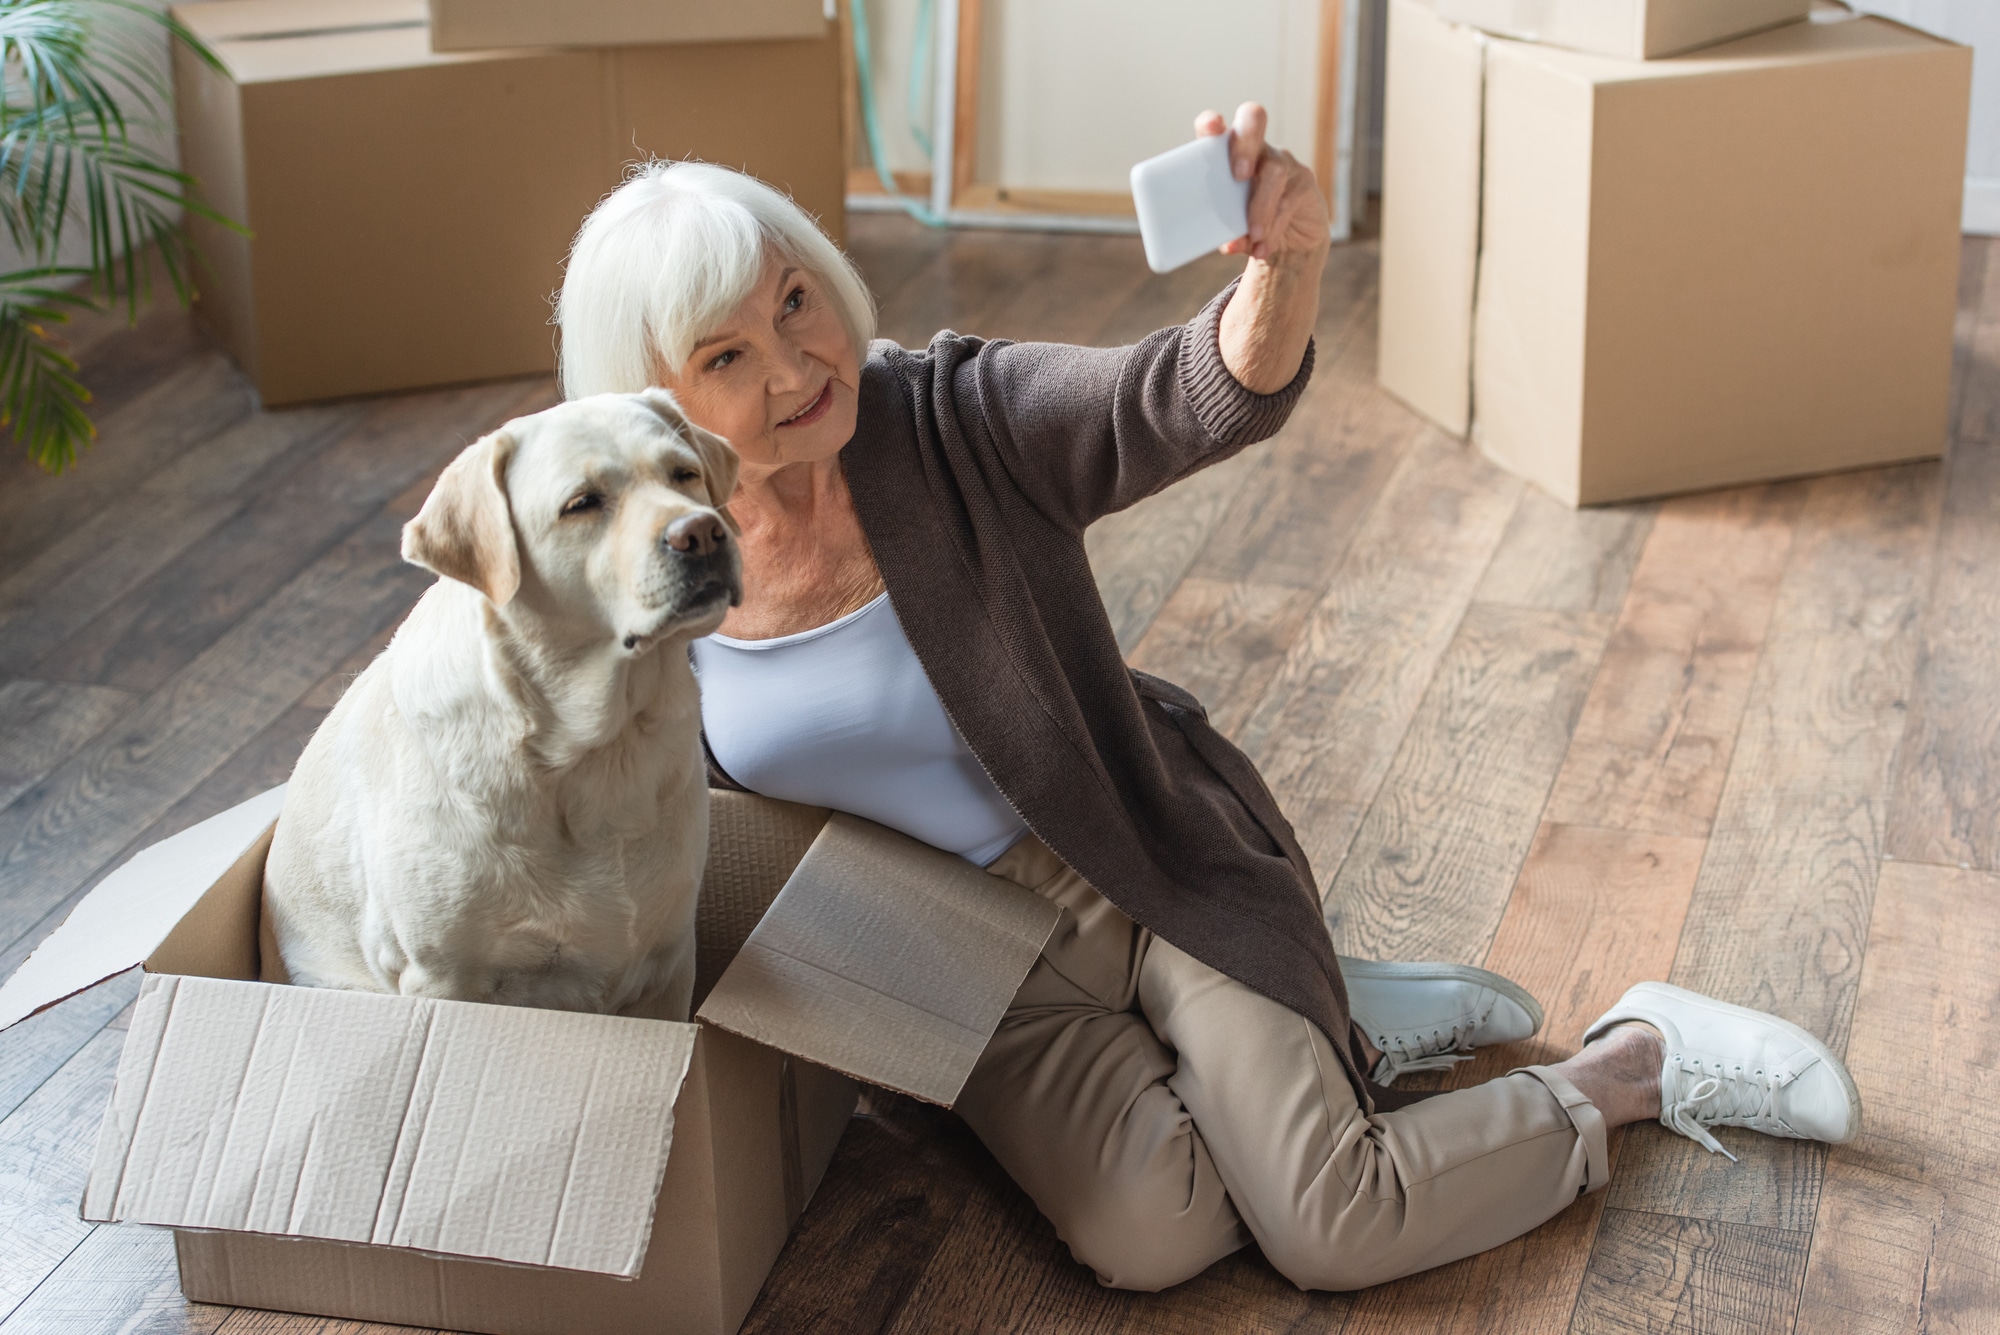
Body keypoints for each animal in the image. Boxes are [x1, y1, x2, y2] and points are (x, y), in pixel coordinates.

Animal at [258, 391, 740, 1015]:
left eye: (684, 473)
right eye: (582, 503)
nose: (702, 533)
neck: (597, 751)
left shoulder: (670, 959)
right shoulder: (442, 981)